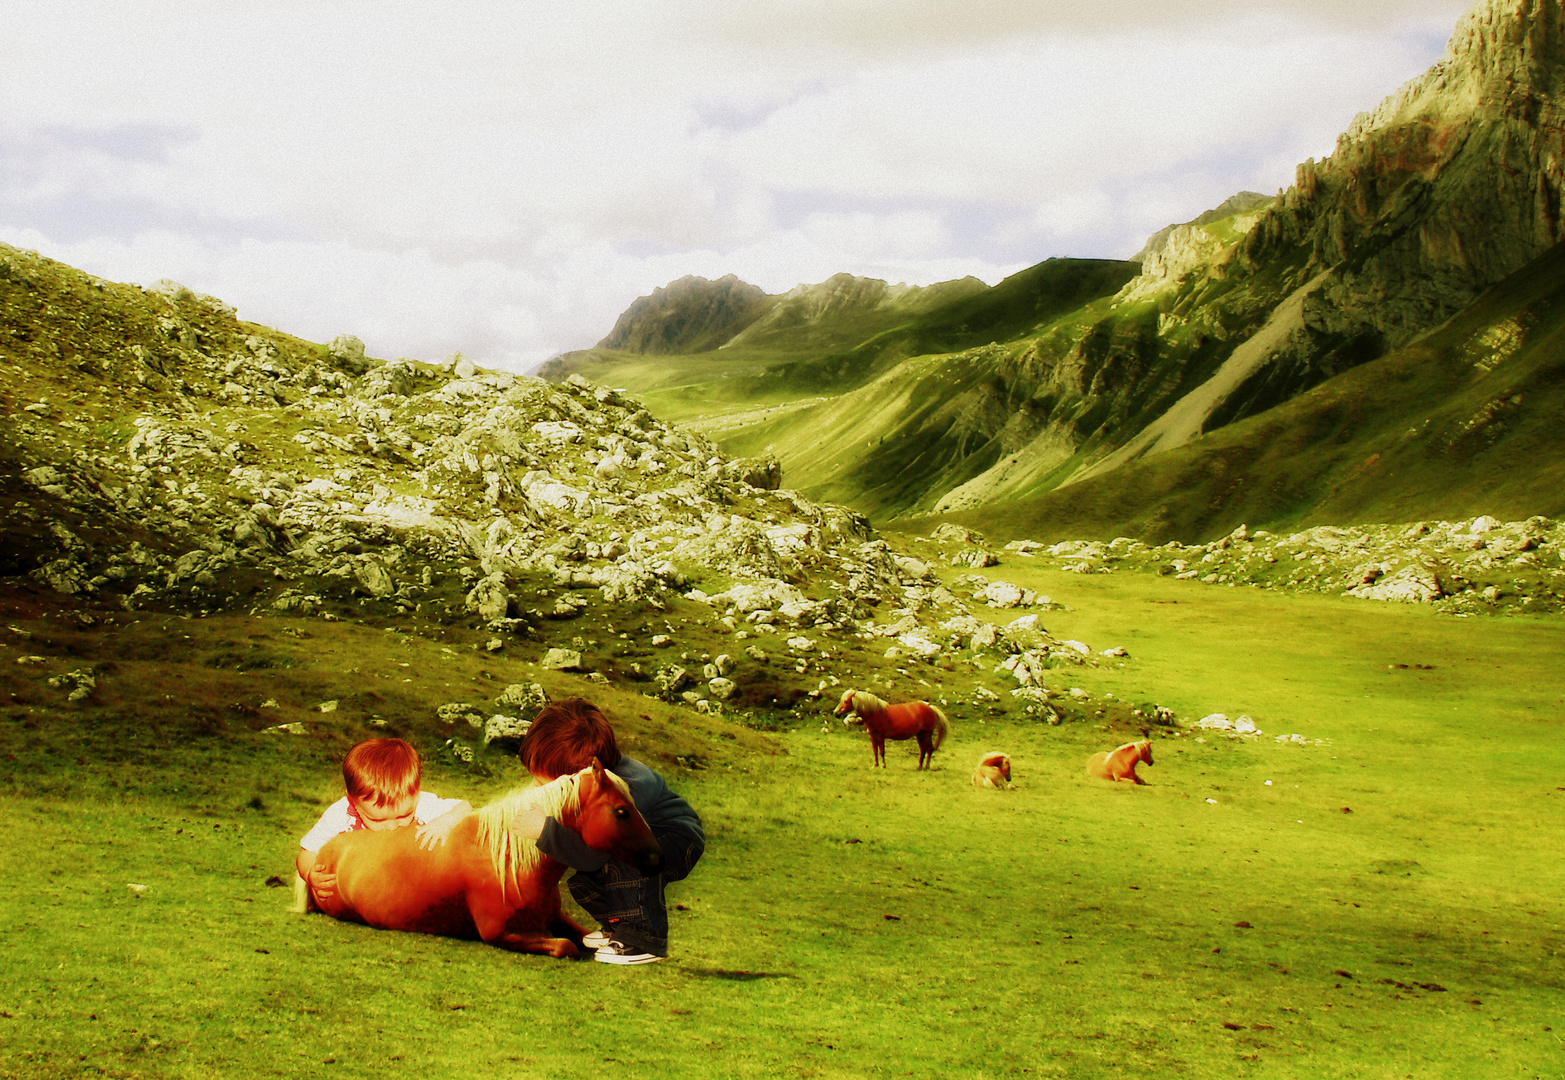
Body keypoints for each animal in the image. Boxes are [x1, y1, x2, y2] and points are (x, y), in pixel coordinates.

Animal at [305, 760, 660, 957]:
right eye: (621, 811)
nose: (656, 855)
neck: (506, 859)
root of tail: (327, 849)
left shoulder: (552, 917)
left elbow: (584, 937)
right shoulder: (500, 934)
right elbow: (566, 946)